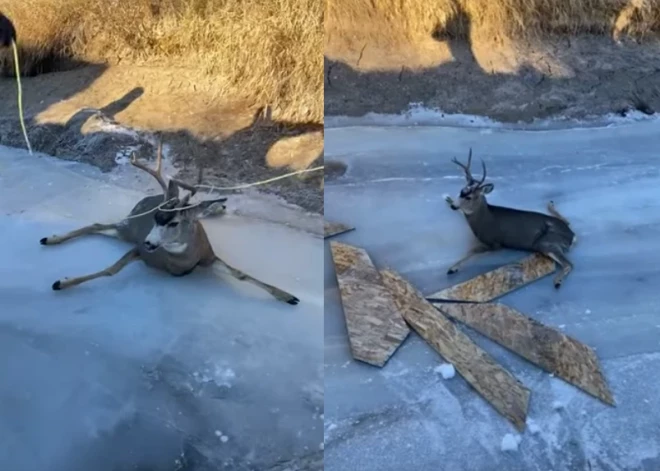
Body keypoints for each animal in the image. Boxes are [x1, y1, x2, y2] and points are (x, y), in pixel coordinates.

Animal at [37, 140, 300, 306]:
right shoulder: (140, 251)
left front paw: (288, 296)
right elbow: (111, 270)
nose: (149, 243)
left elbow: (240, 274)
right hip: (128, 230)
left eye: (174, 223)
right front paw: (63, 282)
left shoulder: (208, 255)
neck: (182, 259)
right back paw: (50, 238)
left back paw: (217, 206)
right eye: (156, 218)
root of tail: (142, 202)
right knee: (97, 225)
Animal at [444, 150, 576, 292]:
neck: (483, 219)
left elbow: (473, 251)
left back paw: (557, 281)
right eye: (461, 191)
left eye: (469, 197)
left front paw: (453, 268)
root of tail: (572, 236)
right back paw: (550, 204)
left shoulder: (495, 243)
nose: (453, 206)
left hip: (546, 242)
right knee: (567, 222)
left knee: (569, 264)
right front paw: (448, 199)